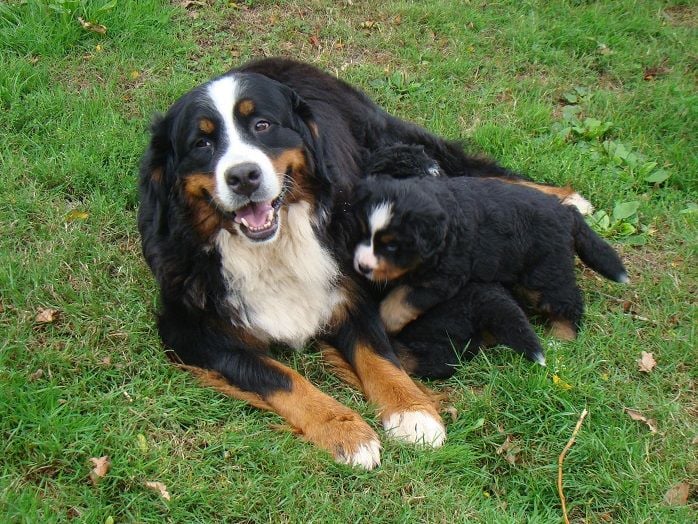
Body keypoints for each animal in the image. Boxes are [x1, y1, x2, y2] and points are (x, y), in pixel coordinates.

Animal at [137, 58, 592, 470]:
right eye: (202, 144)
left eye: (262, 125)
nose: (244, 176)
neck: (273, 248)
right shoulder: (192, 332)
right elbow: (280, 377)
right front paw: (345, 430)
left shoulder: (349, 291)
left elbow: (378, 356)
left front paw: (413, 412)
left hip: (386, 138)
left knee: (473, 168)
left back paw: (566, 199)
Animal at [350, 143, 628, 352]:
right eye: (363, 232)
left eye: (392, 246)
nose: (362, 266)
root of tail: (566, 213)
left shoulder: (442, 278)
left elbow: (401, 301)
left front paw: (383, 323)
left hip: (546, 271)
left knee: (568, 302)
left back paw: (561, 338)